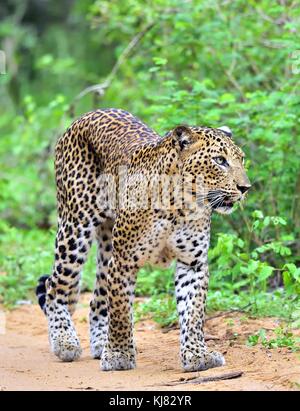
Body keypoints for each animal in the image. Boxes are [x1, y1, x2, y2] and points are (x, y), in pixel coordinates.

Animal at [35, 108, 251, 374]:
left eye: (241, 159)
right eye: (220, 160)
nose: (245, 187)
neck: (179, 205)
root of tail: (88, 114)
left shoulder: (193, 263)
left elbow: (193, 312)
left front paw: (197, 355)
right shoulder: (123, 261)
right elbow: (120, 311)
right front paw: (118, 355)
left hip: (107, 246)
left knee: (97, 300)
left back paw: (100, 344)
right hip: (75, 228)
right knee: (54, 286)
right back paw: (65, 342)